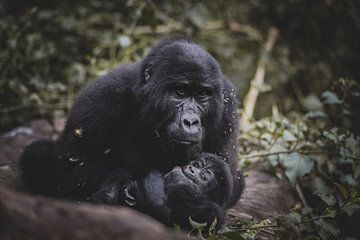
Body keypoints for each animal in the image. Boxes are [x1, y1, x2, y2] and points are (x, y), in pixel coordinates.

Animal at [21, 38, 242, 208]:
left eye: (202, 95)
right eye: (180, 92)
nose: (190, 121)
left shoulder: (226, 107)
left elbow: (227, 179)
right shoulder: (100, 99)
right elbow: (67, 168)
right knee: (37, 153)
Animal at [91, 153, 240, 230]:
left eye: (203, 176)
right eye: (197, 165)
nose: (192, 169)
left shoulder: (212, 217)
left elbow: (210, 213)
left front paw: (179, 180)